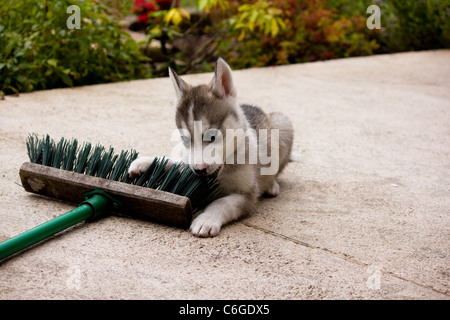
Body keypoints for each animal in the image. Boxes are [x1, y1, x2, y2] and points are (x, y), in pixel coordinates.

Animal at [128, 58, 294, 238]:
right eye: (185, 139)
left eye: (212, 136)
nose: (199, 170)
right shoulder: (188, 164)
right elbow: (176, 164)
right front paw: (145, 163)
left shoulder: (247, 194)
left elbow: (222, 203)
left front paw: (206, 219)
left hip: (282, 123)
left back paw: (272, 184)